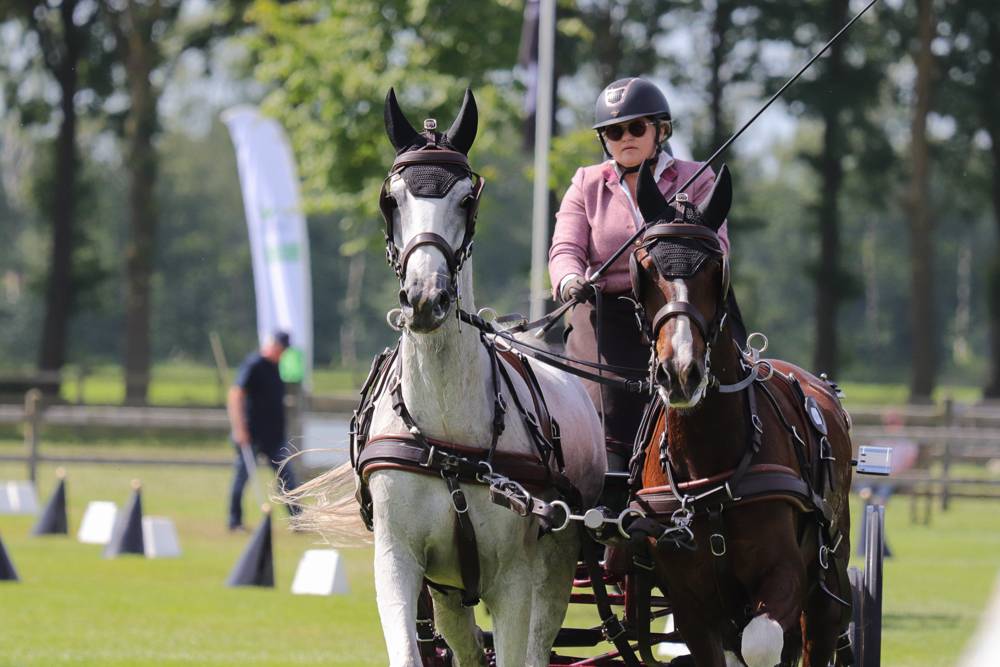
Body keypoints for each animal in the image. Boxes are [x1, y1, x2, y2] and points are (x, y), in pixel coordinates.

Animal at [291, 89, 606, 667]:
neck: (449, 436)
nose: (425, 298)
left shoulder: (515, 581)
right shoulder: (400, 563)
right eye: (391, 201)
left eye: (467, 200)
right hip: (449, 591)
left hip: (553, 570)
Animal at [623, 161, 855, 667]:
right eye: (645, 268)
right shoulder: (691, 603)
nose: (681, 371)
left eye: (717, 269)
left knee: (820, 630)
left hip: (827, 578)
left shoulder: (785, 573)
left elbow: (762, 643)